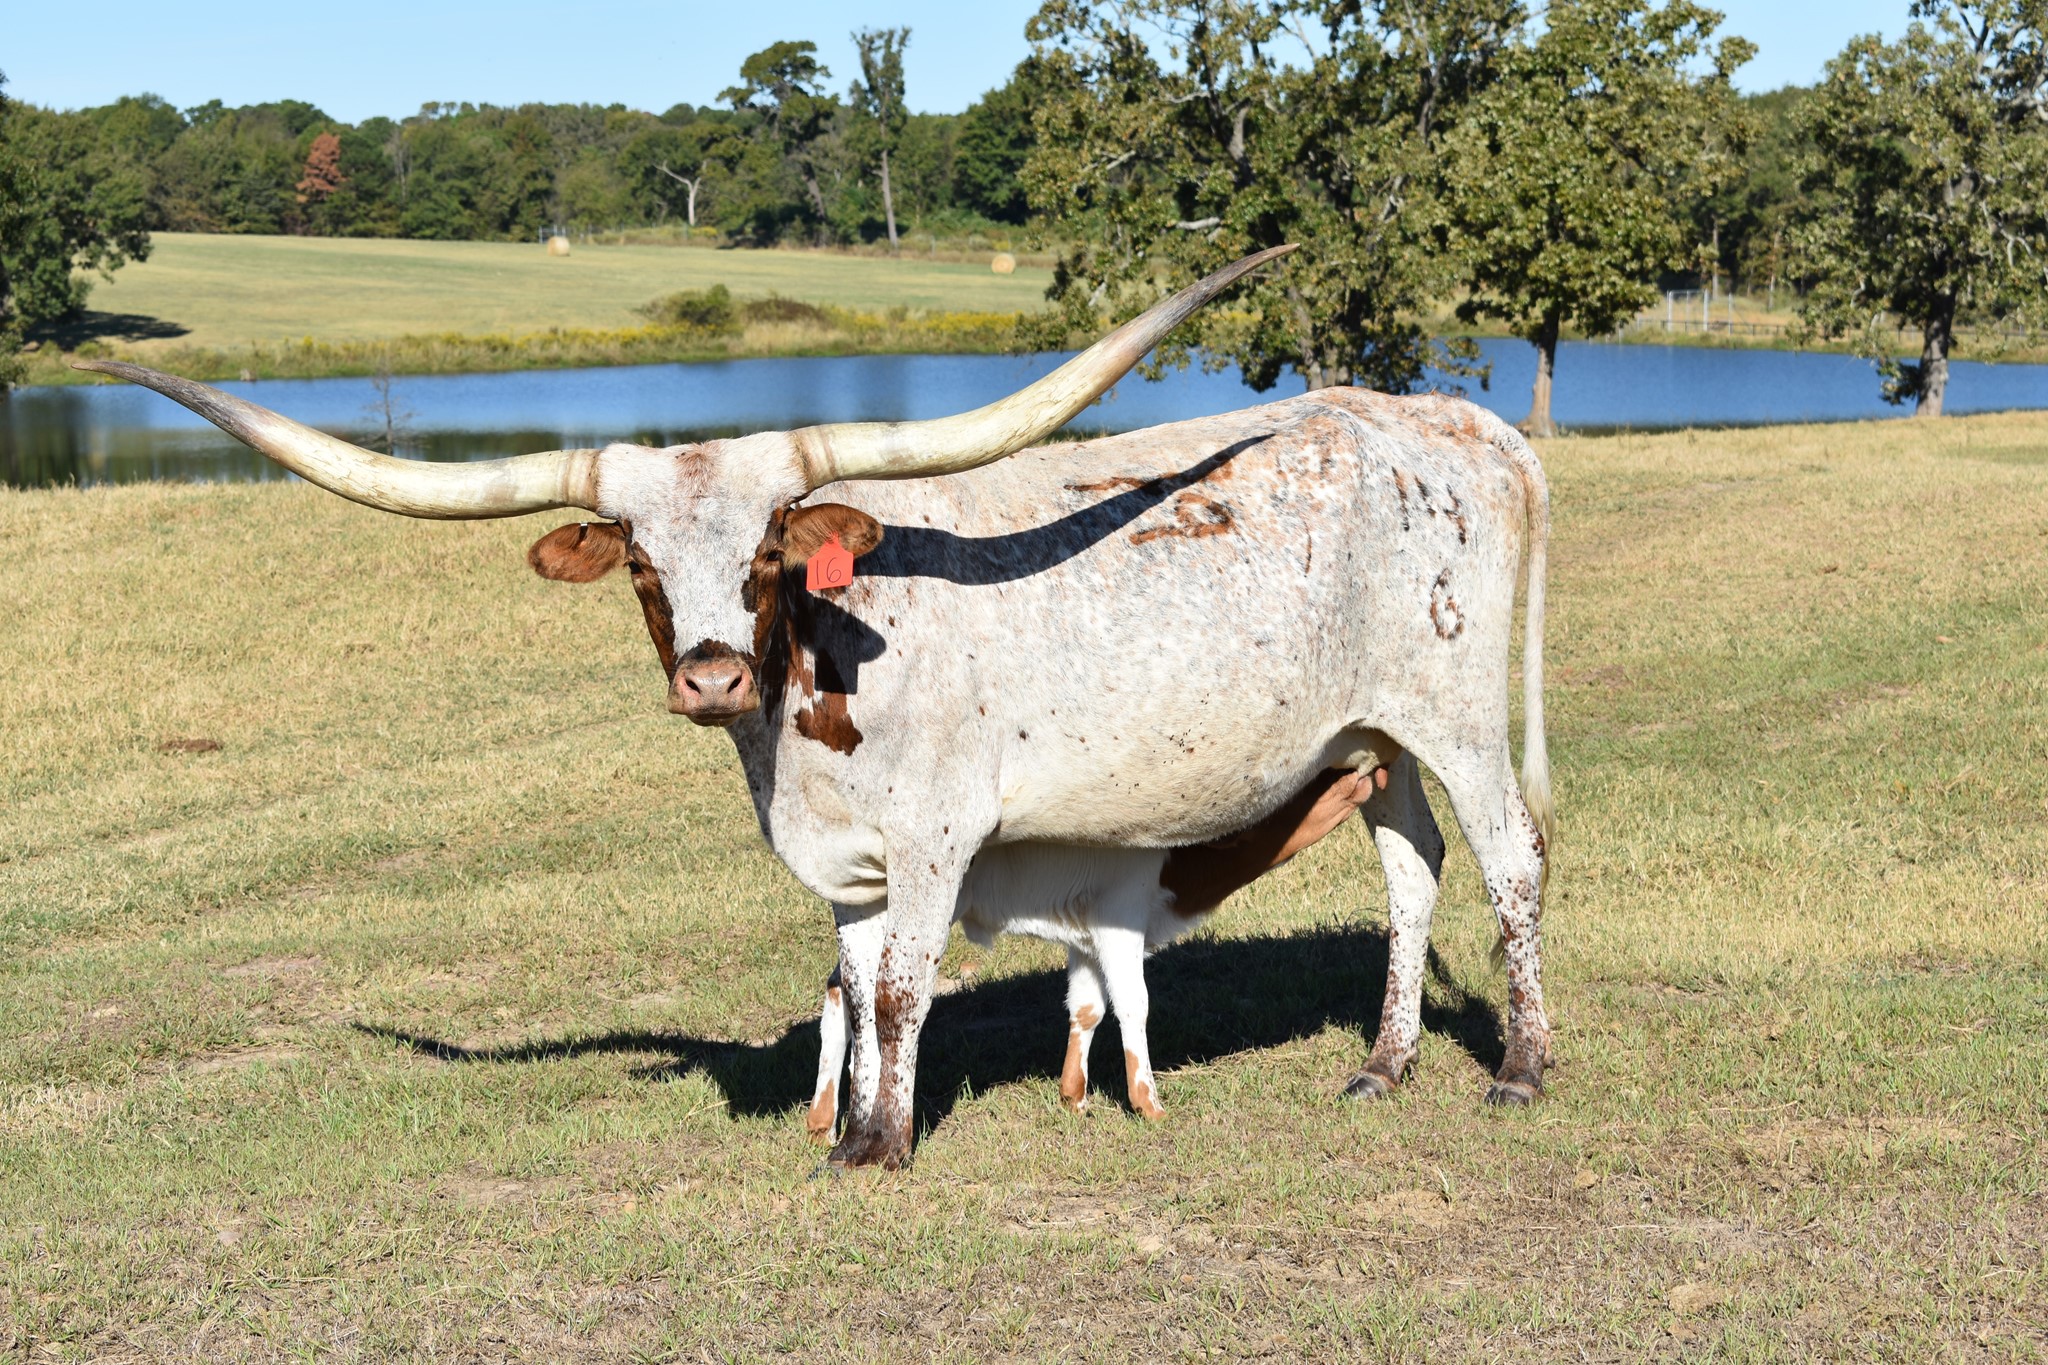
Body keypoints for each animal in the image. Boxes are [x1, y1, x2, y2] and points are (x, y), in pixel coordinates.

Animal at [78, 246, 1554, 1172]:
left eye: (769, 555)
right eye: (639, 563)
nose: (711, 673)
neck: (809, 712)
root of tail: (1459, 426)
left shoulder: (936, 839)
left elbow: (900, 988)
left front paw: (883, 1148)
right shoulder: (844, 863)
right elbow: (850, 983)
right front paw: (848, 1129)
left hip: (1458, 714)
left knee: (1512, 855)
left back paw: (1521, 1068)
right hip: (1374, 732)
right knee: (1412, 866)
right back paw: (1383, 1064)